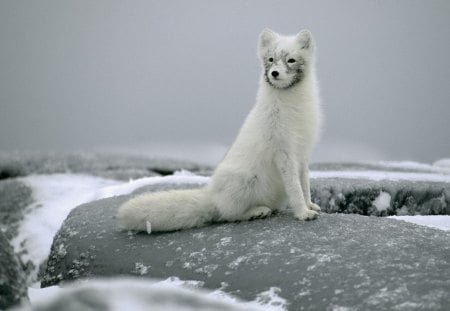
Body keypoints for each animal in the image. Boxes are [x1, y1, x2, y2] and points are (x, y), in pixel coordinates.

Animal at [118, 29, 322, 233]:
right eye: (271, 59)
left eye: (291, 60)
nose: (274, 73)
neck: (292, 105)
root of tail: (211, 196)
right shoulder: (283, 152)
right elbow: (295, 188)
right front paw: (303, 213)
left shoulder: (302, 153)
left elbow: (304, 184)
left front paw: (309, 205)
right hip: (245, 181)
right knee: (228, 214)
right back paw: (256, 211)